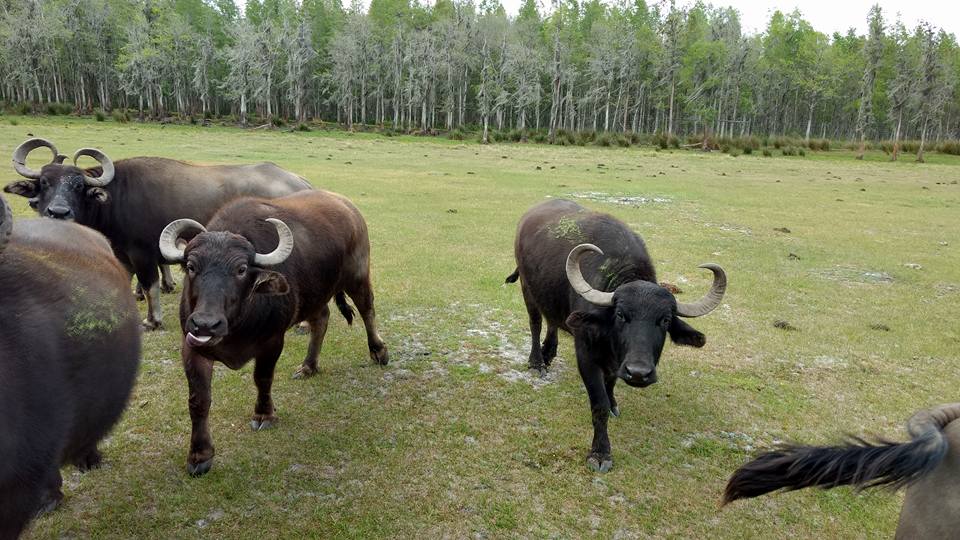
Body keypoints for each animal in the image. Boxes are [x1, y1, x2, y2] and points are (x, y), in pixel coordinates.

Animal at [4, 138, 312, 330]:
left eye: (79, 186)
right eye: (45, 182)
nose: (58, 212)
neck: (117, 198)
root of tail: (298, 181)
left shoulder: (142, 252)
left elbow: (149, 284)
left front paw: (152, 320)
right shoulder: (122, 252)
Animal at [158, 190, 389, 476]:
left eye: (241, 269)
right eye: (191, 266)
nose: (205, 324)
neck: (238, 325)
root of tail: (349, 208)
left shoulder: (272, 342)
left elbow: (263, 378)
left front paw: (264, 414)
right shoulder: (192, 346)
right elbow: (198, 400)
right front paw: (200, 455)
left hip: (357, 275)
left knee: (368, 309)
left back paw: (379, 352)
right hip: (316, 295)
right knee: (321, 320)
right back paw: (308, 366)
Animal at [506, 199, 726, 472]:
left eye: (664, 320)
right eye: (621, 315)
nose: (639, 373)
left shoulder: (615, 362)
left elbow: (610, 384)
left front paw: (613, 403)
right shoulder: (586, 354)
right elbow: (598, 404)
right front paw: (600, 453)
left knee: (553, 321)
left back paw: (549, 353)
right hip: (527, 289)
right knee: (536, 322)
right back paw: (537, 362)